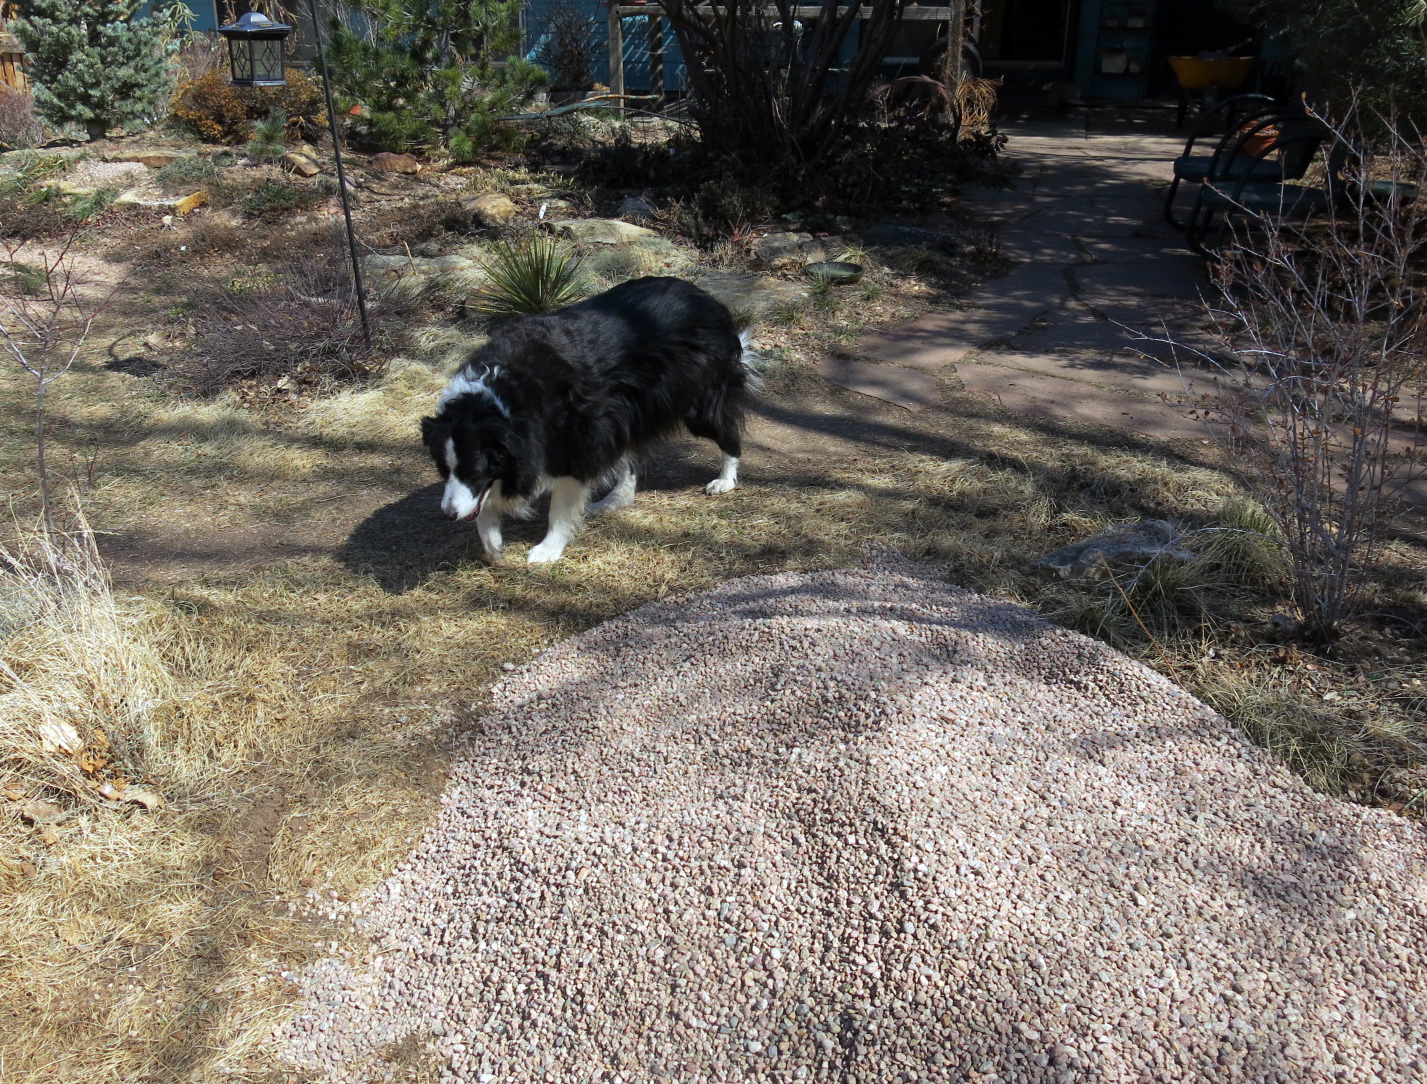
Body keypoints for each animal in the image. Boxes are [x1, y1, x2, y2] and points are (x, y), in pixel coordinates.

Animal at [421, 276, 758, 564]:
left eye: (475, 470)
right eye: (443, 468)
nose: (447, 514)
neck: (500, 402)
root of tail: (707, 299)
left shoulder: (576, 434)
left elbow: (562, 499)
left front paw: (545, 552)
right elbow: (486, 499)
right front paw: (493, 544)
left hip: (696, 389)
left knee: (724, 427)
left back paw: (724, 481)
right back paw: (613, 500)